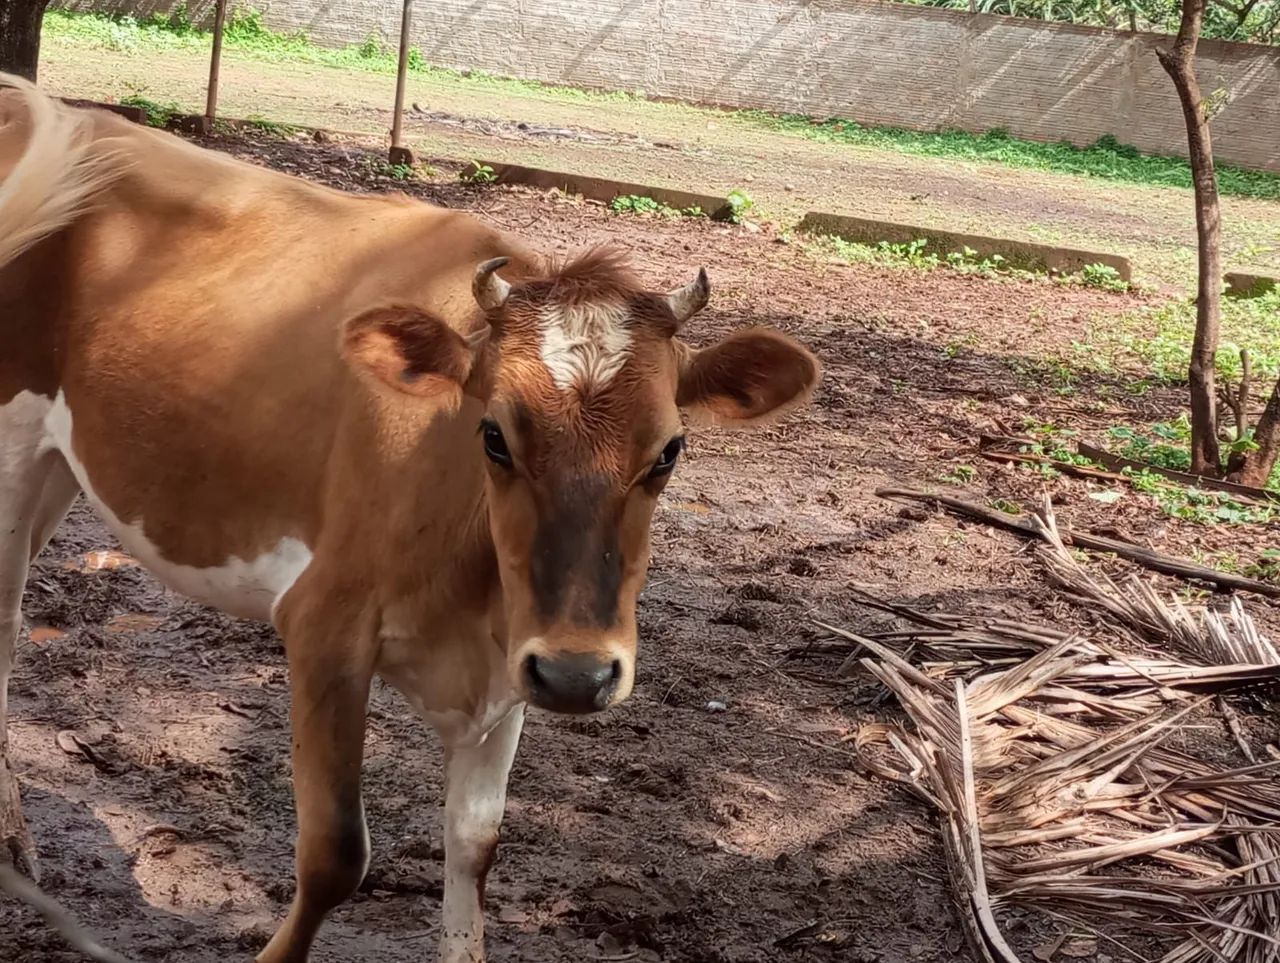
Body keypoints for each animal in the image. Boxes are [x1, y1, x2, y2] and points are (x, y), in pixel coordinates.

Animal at [0, 74, 820, 962]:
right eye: (493, 433)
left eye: (670, 450)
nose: (580, 675)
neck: (471, 589)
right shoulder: (324, 623)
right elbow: (334, 854)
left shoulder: (515, 661)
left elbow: (475, 845)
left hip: (57, 464)